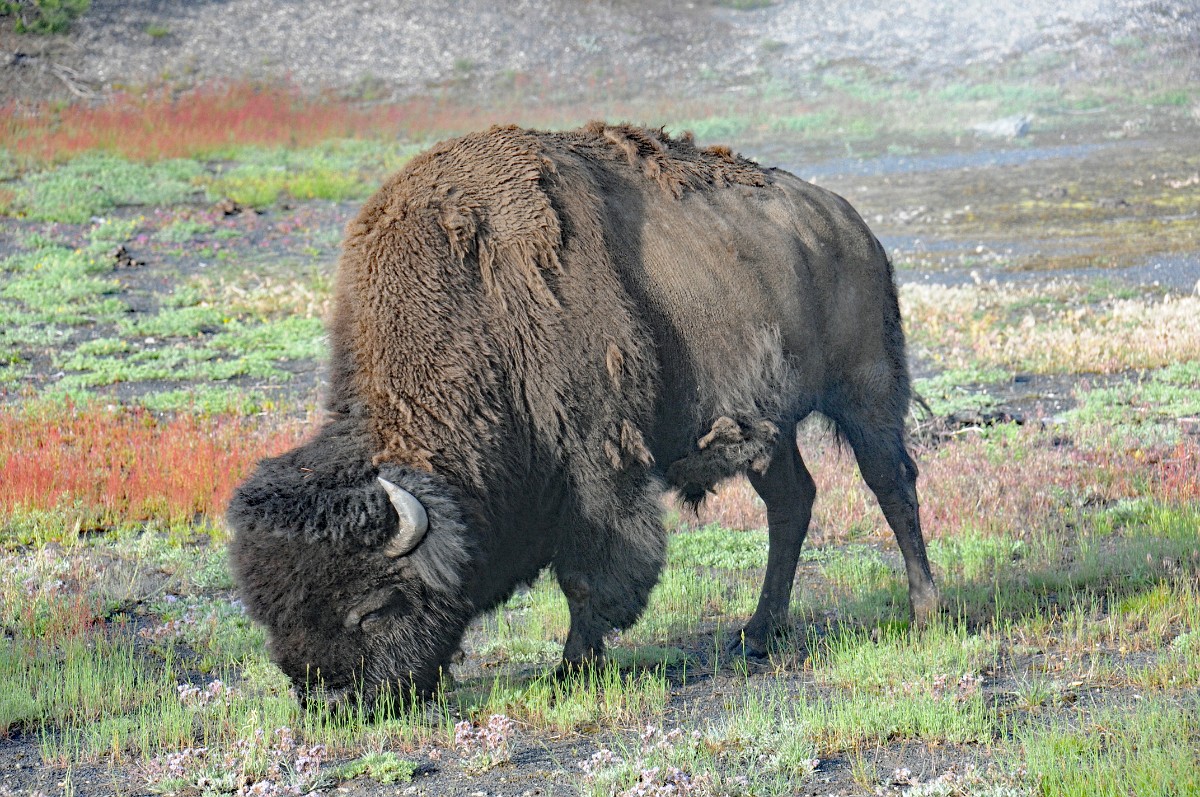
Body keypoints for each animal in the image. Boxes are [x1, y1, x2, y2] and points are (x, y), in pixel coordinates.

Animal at [228, 122, 939, 707]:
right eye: (270, 615)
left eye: (373, 609)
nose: (330, 702)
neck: (477, 312)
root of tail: (851, 225)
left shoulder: (595, 463)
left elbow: (589, 573)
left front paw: (572, 668)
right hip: (769, 425)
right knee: (792, 501)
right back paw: (759, 633)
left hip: (867, 390)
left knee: (892, 485)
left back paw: (923, 613)